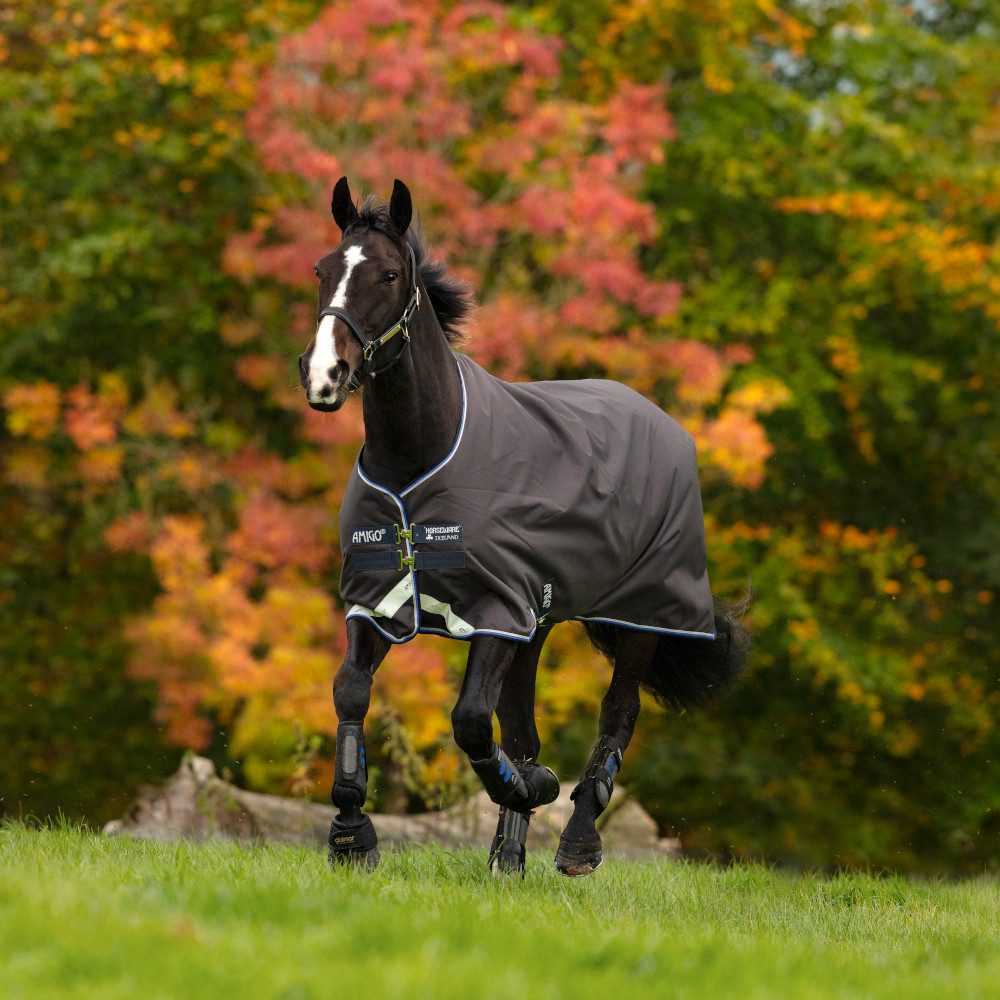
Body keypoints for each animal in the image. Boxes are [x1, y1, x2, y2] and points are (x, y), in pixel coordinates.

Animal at [297, 177, 750, 876]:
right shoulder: (379, 600)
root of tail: (663, 422)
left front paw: (534, 789)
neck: (420, 459)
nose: (326, 375)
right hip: (536, 625)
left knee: (618, 714)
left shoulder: (495, 610)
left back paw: (578, 840)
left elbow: (469, 720)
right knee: (523, 725)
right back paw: (508, 854)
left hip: (638, 617)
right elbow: (352, 694)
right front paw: (352, 835)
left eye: (390, 275)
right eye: (323, 270)